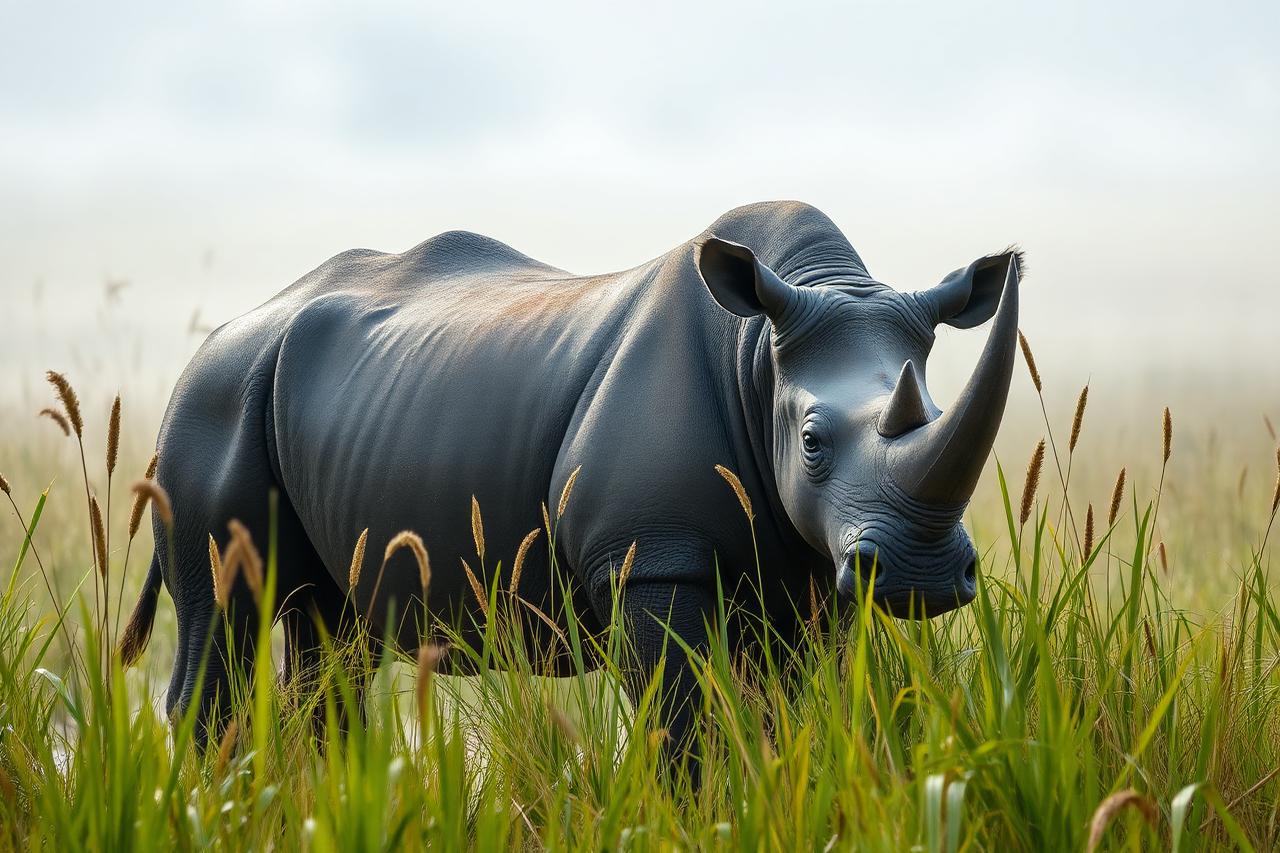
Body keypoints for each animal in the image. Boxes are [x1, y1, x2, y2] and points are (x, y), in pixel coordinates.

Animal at [120, 200, 1020, 759]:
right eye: (810, 442)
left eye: (939, 411)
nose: (919, 576)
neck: (760, 349)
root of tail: (227, 331)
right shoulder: (648, 556)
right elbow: (682, 727)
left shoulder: (808, 573)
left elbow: (787, 719)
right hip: (216, 396)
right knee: (226, 612)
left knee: (330, 635)